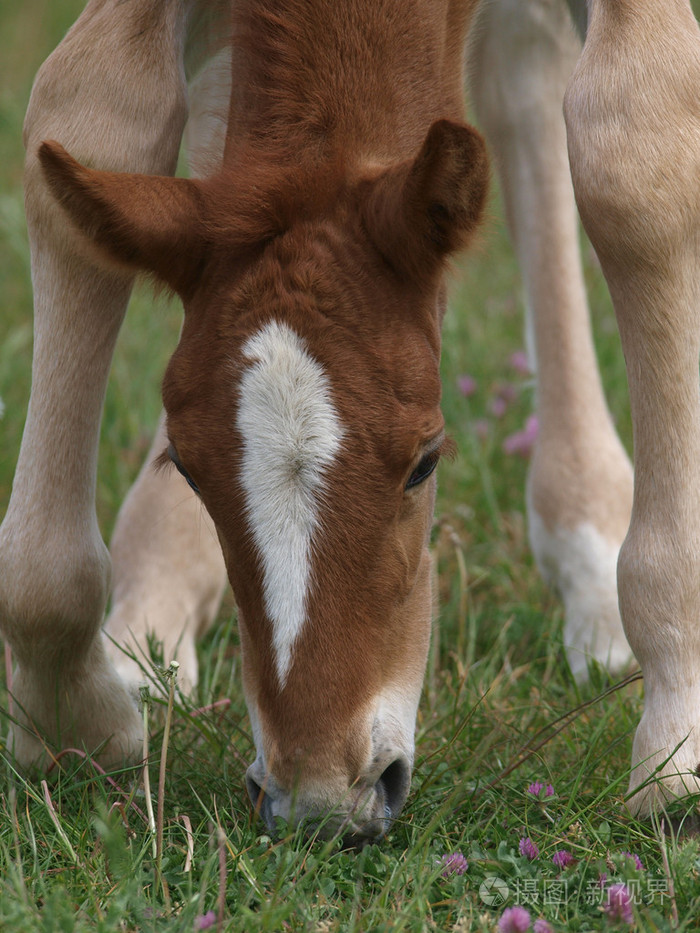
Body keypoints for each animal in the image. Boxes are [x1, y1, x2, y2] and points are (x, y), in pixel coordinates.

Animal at [1, 0, 699, 845]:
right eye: (188, 468)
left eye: (427, 460)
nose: (321, 799)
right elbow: (92, 114)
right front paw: (72, 721)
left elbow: (630, 160)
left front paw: (676, 746)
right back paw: (151, 614)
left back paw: (589, 555)